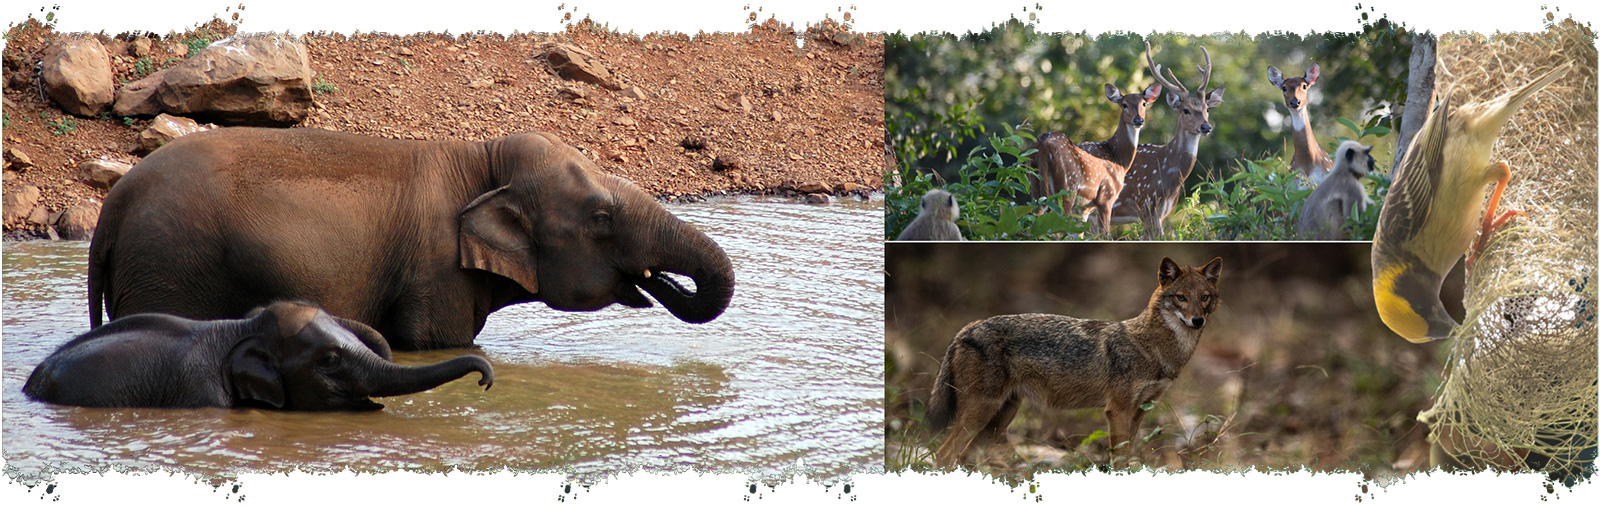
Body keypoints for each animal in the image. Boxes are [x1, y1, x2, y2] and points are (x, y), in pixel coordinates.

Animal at [87, 128, 735, 350]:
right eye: (601, 217)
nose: (658, 279)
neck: (483, 161)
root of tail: (112, 207)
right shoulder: (434, 271)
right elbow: (437, 342)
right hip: (169, 263)